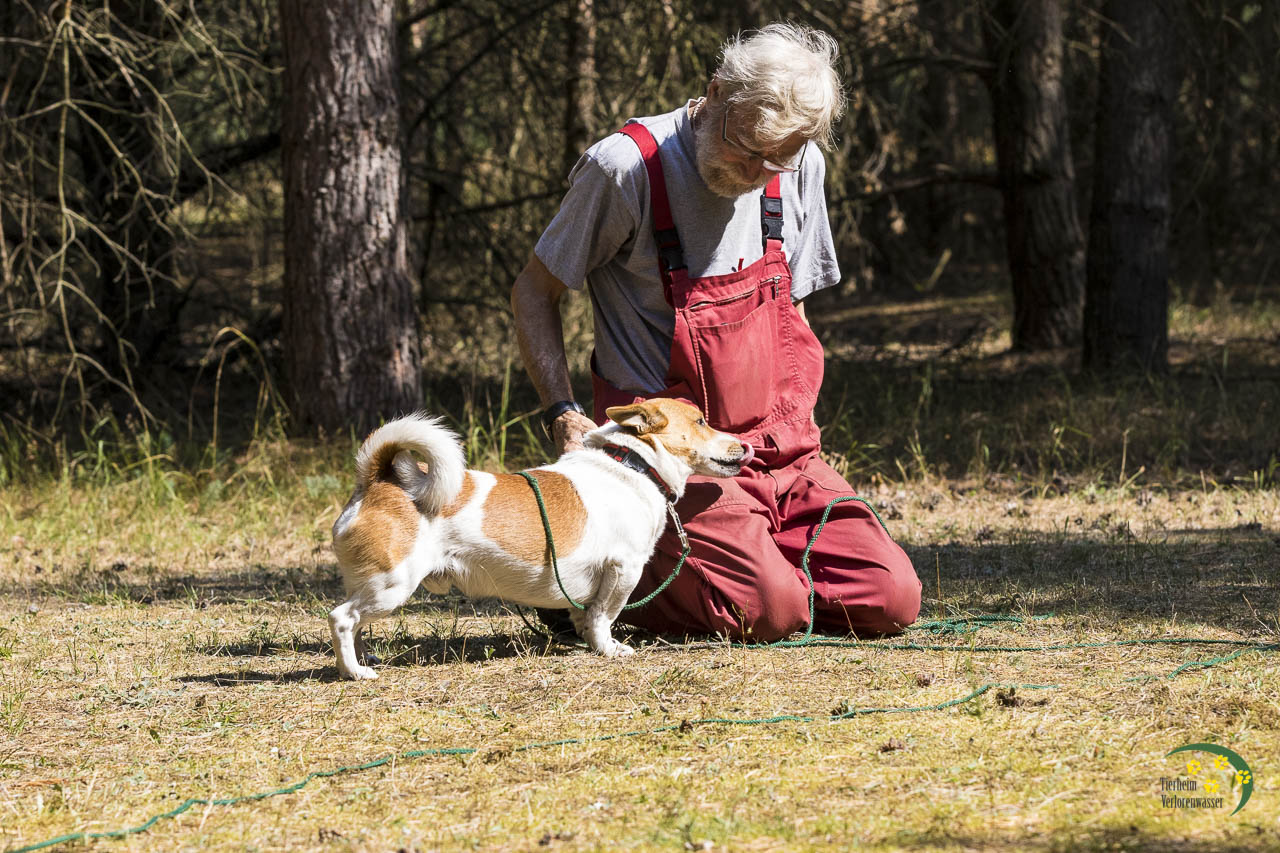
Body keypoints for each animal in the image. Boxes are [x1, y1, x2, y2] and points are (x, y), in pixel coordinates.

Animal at [328, 398, 752, 680]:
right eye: (701, 421)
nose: (746, 444)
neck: (633, 465)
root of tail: (378, 479)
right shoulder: (623, 570)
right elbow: (605, 616)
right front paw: (608, 649)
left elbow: (586, 615)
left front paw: (586, 640)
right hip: (392, 585)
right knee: (342, 618)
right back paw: (354, 672)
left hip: (372, 587)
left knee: (356, 622)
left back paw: (364, 660)